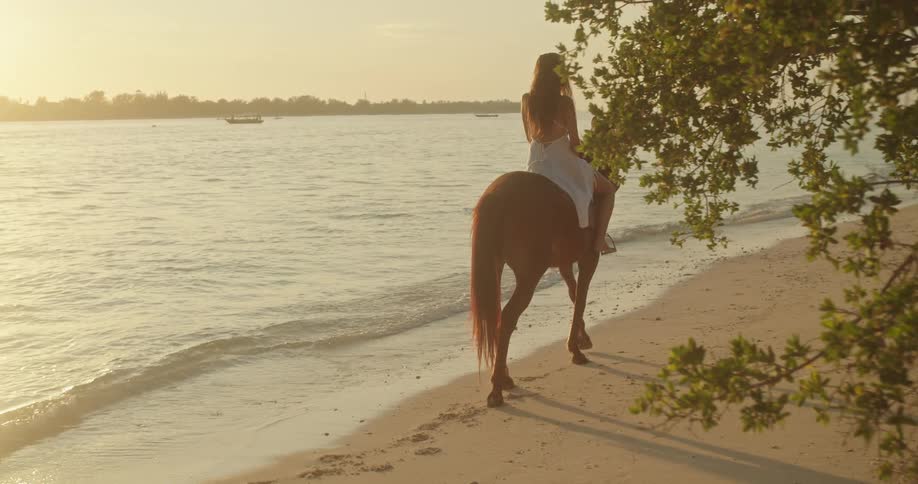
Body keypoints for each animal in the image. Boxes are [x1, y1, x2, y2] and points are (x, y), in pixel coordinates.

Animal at [470, 170, 601, 407]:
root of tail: (497, 196)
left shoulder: (565, 263)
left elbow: (574, 294)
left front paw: (581, 339)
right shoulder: (589, 258)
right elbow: (581, 297)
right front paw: (576, 349)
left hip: (497, 267)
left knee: (499, 317)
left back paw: (503, 377)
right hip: (529, 275)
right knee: (508, 317)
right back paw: (497, 388)